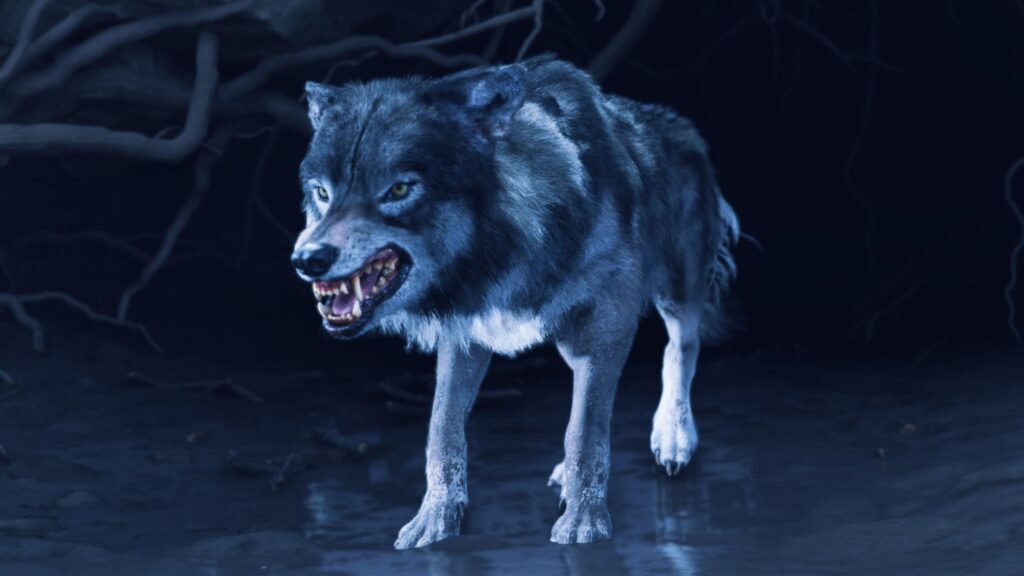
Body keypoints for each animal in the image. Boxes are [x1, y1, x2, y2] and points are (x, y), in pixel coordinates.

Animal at [290, 55, 739, 549]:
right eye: (323, 192)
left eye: (399, 190)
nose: (307, 259)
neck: (507, 249)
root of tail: (680, 126)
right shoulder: (465, 332)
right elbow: (442, 429)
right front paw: (436, 519)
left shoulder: (609, 315)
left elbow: (584, 429)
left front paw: (584, 521)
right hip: (569, 338)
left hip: (674, 293)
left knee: (680, 347)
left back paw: (674, 437)